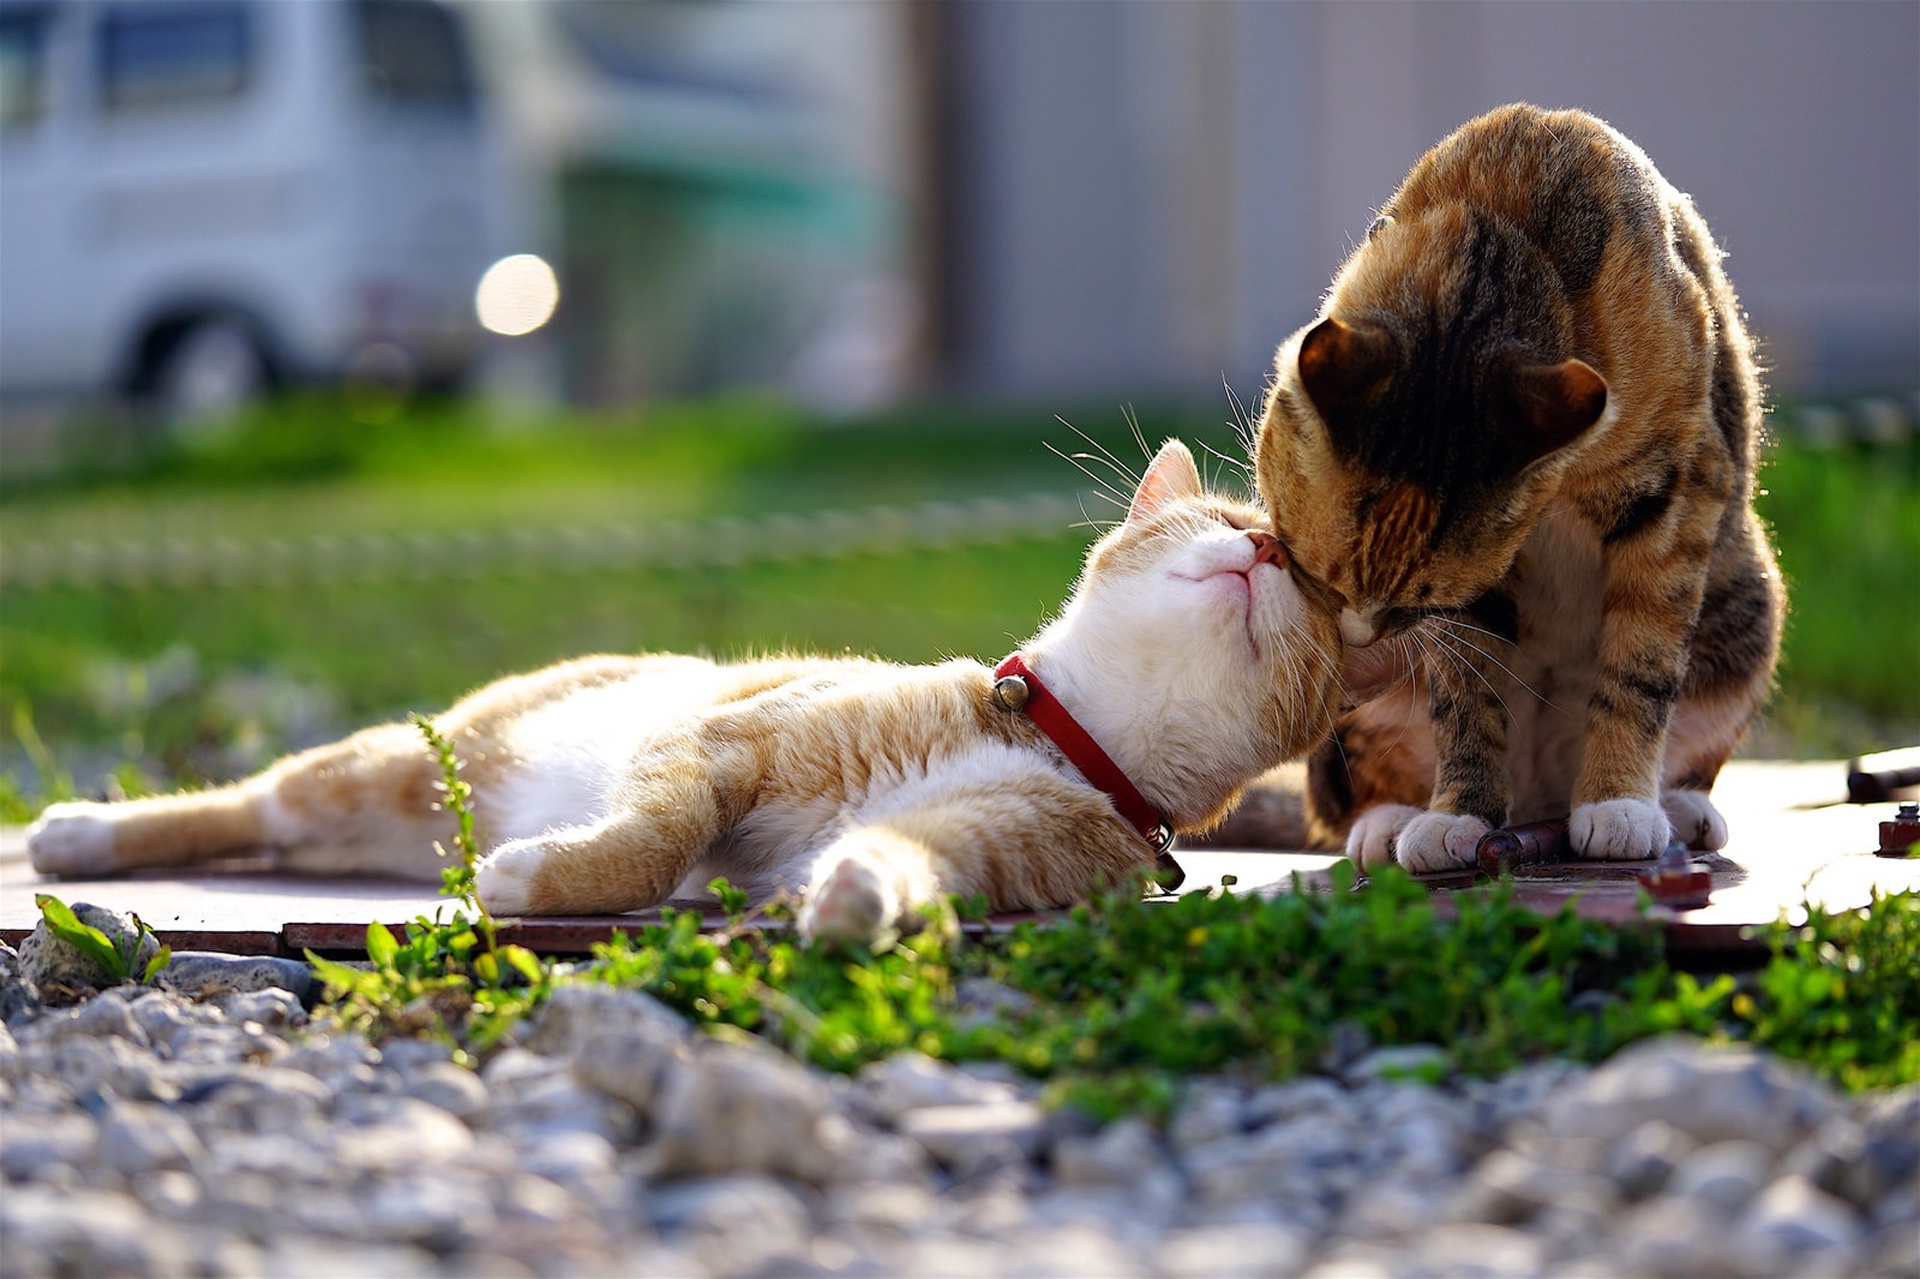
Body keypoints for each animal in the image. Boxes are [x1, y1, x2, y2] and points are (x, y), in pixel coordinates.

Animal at [30, 443, 1351, 941]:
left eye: (1310, 579)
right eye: (1217, 514)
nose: (1262, 549)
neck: (1062, 741)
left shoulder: (995, 839)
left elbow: (910, 857)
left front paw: (858, 895)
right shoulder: (719, 744)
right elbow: (659, 837)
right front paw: (544, 878)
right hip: (389, 762)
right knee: (245, 802)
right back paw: (85, 830)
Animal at [1251, 104, 1774, 871]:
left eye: (1420, 599)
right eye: (1316, 573)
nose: (1355, 637)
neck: (1510, 220)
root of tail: (1537, 804)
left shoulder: (1678, 490)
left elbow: (1641, 665)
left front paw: (1618, 802)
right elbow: (1467, 691)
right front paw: (1458, 814)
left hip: (1745, 610)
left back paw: (1675, 808)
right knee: (1354, 791)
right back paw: (1393, 822)